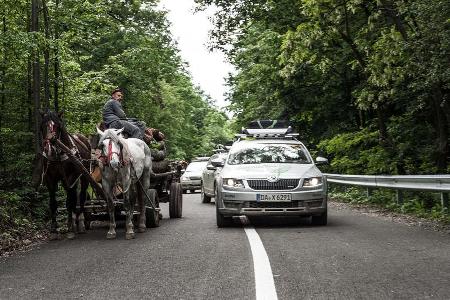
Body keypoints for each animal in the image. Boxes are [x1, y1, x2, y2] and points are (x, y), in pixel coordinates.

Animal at [38, 110, 91, 239]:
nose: (48, 148)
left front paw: (70, 228)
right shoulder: (50, 179)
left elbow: (69, 201)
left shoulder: (70, 177)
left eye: (57, 126)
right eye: (42, 126)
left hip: (84, 176)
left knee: (82, 196)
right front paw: (53, 230)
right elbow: (53, 203)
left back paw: (80, 222)